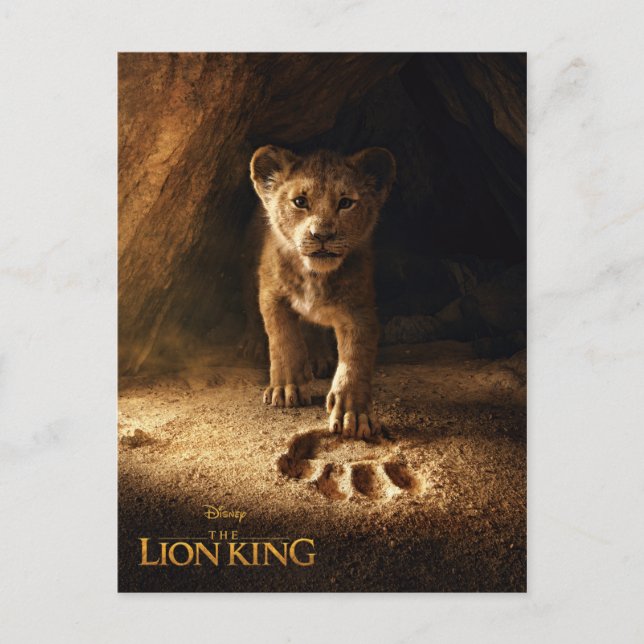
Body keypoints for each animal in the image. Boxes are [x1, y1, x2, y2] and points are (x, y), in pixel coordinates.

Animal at [248, 145, 396, 439]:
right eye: (300, 201)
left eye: (346, 203)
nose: (322, 235)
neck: (314, 276)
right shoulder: (271, 294)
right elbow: (283, 339)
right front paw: (287, 388)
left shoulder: (359, 310)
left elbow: (355, 359)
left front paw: (353, 413)